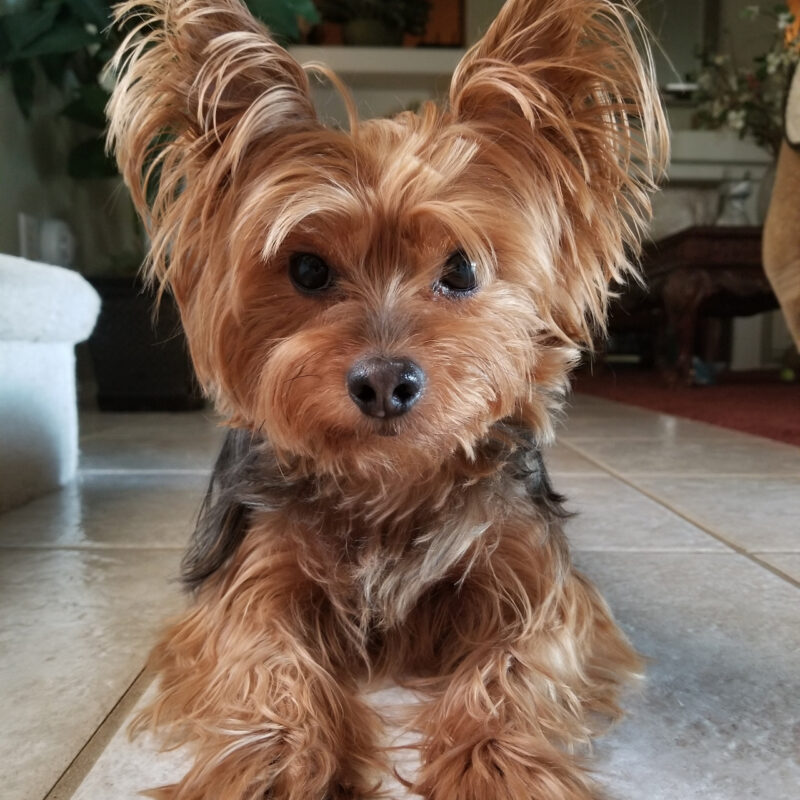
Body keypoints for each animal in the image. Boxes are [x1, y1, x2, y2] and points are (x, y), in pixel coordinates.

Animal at [108, 3, 668, 796]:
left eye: (462, 268)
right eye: (307, 270)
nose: (383, 383)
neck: (389, 480)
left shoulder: (543, 590)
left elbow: (515, 660)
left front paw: (498, 765)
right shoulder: (246, 582)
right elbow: (263, 659)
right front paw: (276, 764)